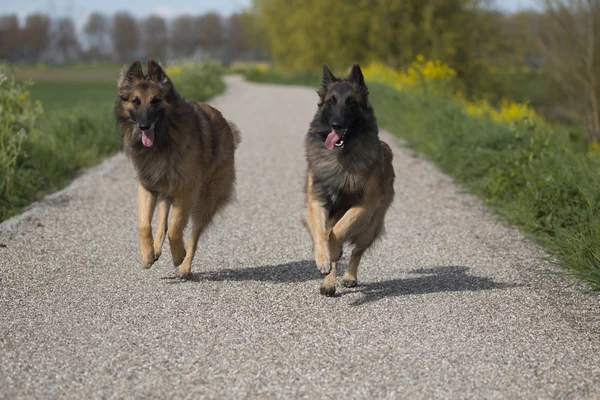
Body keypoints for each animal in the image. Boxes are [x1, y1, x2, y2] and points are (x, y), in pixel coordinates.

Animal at [115, 60, 241, 278]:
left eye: (156, 100)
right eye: (135, 101)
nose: (144, 126)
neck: (163, 140)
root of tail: (226, 124)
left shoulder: (186, 191)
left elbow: (176, 229)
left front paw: (178, 255)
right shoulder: (148, 186)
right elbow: (144, 225)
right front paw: (147, 255)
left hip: (206, 200)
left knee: (193, 235)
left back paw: (184, 267)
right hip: (166, 189)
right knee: (162, 221)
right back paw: (156, 249)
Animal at [304, 63, 394, 296]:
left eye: (351, 102)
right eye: (331, 102)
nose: (336, 125)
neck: (341, 156)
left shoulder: (364, 205)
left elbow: (340, 230)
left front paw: (334, 252)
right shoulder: (317, 201)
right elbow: (322, 232)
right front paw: (323, 259)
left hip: (370, 227)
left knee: (357, 252)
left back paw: (349, 276)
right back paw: (328, 282)